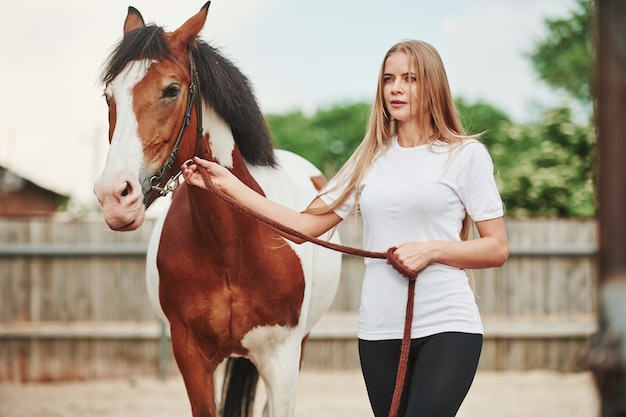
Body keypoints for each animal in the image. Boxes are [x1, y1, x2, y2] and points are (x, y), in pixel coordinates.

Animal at [91, 2, 342, 412]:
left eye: (171, 90)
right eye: (109, 96)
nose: (114, 195)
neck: (230, 244)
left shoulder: (283, 359)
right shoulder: (190, 357)